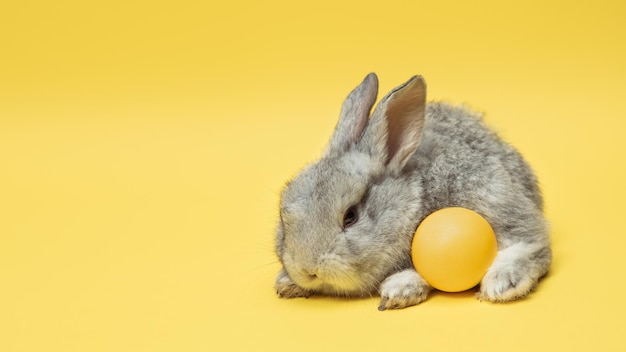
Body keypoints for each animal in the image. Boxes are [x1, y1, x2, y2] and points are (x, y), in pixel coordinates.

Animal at [274, 73, 552, 310]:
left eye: (351, 216)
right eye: (284, 217)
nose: (307, 269)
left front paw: (399, 290)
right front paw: (286, 283)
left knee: (535, 245)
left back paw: (501, 283)